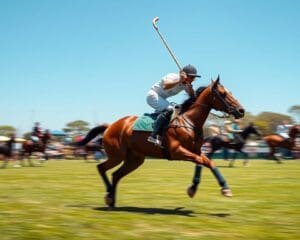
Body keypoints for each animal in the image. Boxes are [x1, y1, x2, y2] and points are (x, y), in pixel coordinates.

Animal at [79, 76, 244, 207]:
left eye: (230, 92)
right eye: (223, 93)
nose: (241, 110)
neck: (189, 121)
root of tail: (110, 126)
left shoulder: (195, 150)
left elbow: (206, 162)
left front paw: (202, 188)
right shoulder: (177, 151)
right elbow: (204, 161)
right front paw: (213, 189)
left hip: (134, 159)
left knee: (116, 175)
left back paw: (112, 199)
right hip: (116, 155)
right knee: (101, 168)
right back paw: (108, 195)